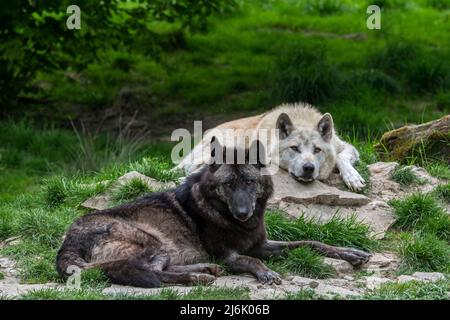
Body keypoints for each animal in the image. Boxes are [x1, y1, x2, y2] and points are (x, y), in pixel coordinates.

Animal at [56, 138, 370, 288]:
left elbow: (311, 242)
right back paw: (199, 277)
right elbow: (249, 260)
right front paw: (266, 273)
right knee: (150, 272)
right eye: (228, 185)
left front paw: (350, 253)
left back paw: (204, 269)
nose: (243, 213)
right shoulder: (230, 254)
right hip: (152, 241)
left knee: (157, 268)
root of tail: (66, 243)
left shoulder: (262, 244)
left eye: (249, 182)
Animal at [176, 104, 366, 191]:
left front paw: (353, 177)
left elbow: (341, 157)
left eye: (317, 150)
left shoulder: (347, 147)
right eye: (294, 148)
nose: (308, 168)